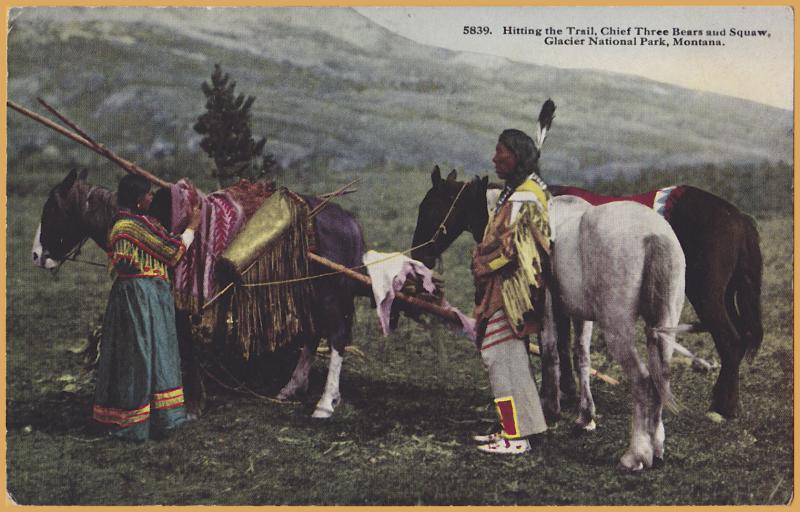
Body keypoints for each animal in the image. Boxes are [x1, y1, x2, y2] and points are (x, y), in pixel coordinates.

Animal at [31, 170, 368, 418]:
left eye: (52, 209)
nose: (36, 255)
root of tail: (349, 220)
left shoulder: (180, 300)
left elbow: (186, 344)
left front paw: (193, 403)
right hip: (311, 292)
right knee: (314, 334)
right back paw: (293, 387)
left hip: (328, 295)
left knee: (336, 337)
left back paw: (324, 403)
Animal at [412, 168, 764, 420]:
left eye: (429, 209)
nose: (421, 256)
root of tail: (738, 218)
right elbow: (565, 341)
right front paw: (567, 393)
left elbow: (558, 342)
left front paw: (560, 394)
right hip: (723, 296)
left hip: (706, 296)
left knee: (731, 342)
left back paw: (721, 408)